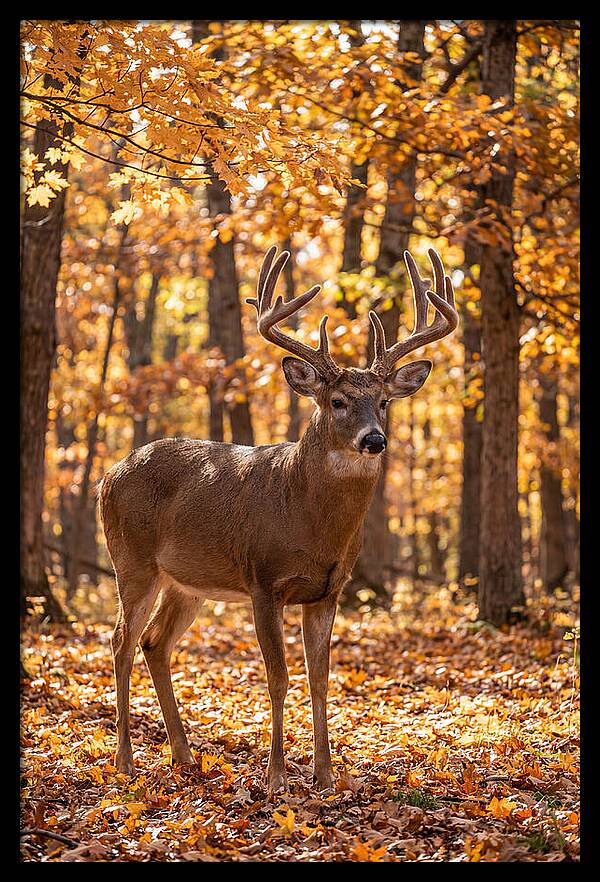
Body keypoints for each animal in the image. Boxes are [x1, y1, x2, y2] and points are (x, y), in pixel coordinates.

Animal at [99, 245, 458, 792]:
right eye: (338, 401)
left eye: (383, 402)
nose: (375, 439)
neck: (309, 521)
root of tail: (108, 476)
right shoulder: (263, 580)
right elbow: (278, 677)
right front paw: (276, 778)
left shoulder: (329, 590)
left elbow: (320, 678)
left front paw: (326, 775)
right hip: (132, 561)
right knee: (120, 640)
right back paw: (124, 761)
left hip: (187, 582)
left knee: (154, 643)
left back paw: (183, 755)